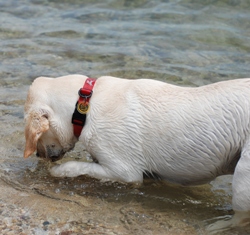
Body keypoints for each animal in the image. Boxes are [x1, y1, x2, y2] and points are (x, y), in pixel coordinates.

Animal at [23, 75, 250, 229]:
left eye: (39, 136)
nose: (38, 156)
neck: (85, 103)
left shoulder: (125, 171)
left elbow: (76, 166)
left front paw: (58, 172)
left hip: (243, 178)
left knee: (240, 217)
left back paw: (217, 225)